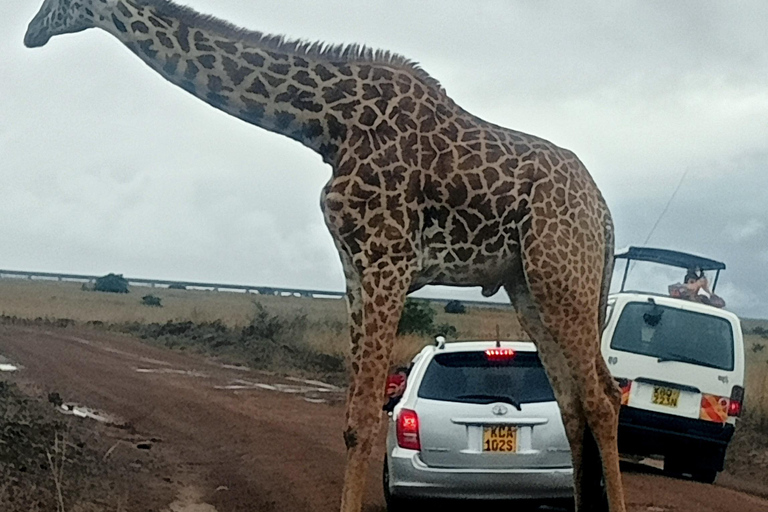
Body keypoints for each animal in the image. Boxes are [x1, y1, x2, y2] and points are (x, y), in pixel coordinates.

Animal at [25, 2, 624, 510]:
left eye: (59, 1)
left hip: (561, 275)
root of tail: (603, 210)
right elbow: (352, 421)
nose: (30, 33)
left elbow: (366, 413)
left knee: (602, 398)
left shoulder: (387, 261)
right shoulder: (354, 268)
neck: (328, 125)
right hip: (528, 285)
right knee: (572, 404)